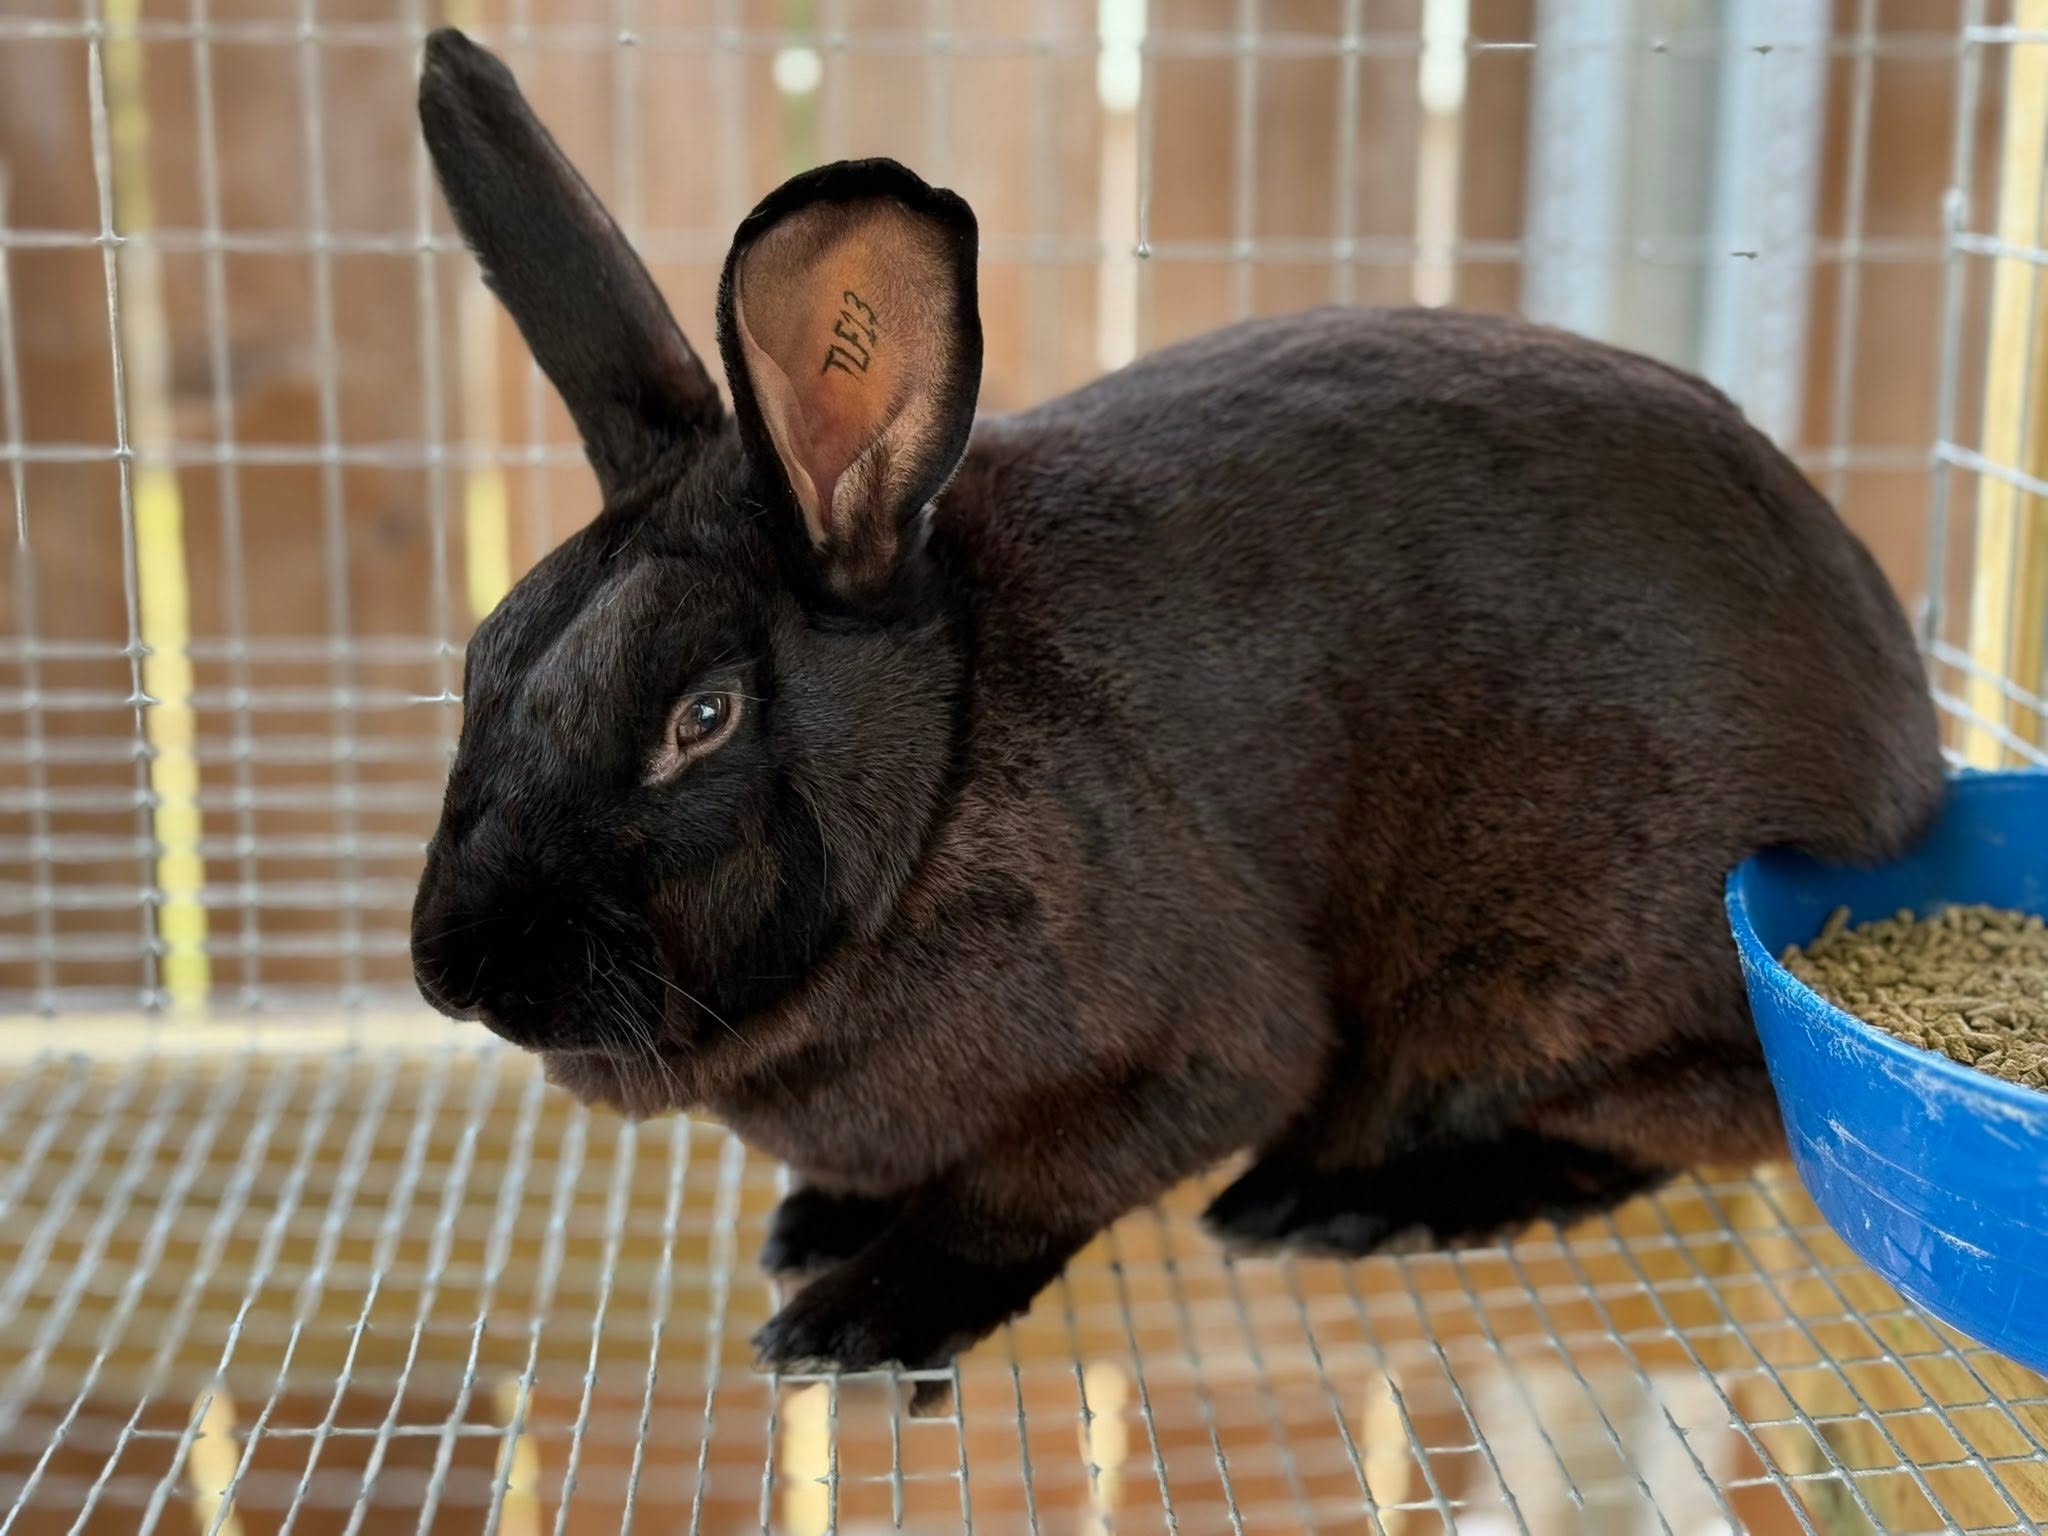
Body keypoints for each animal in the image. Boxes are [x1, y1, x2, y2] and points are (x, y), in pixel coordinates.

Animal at [409, 28, 1946, 1374]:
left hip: (1569, 986)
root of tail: (1912, 777)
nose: (451, 973)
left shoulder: (1200, 1055)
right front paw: (816, 1226)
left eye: (702, 718)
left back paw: (1338, 1205)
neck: (945, 774)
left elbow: (1019, 1191)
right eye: (482, 660)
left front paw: (851, 1323)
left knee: (1643, 1128)